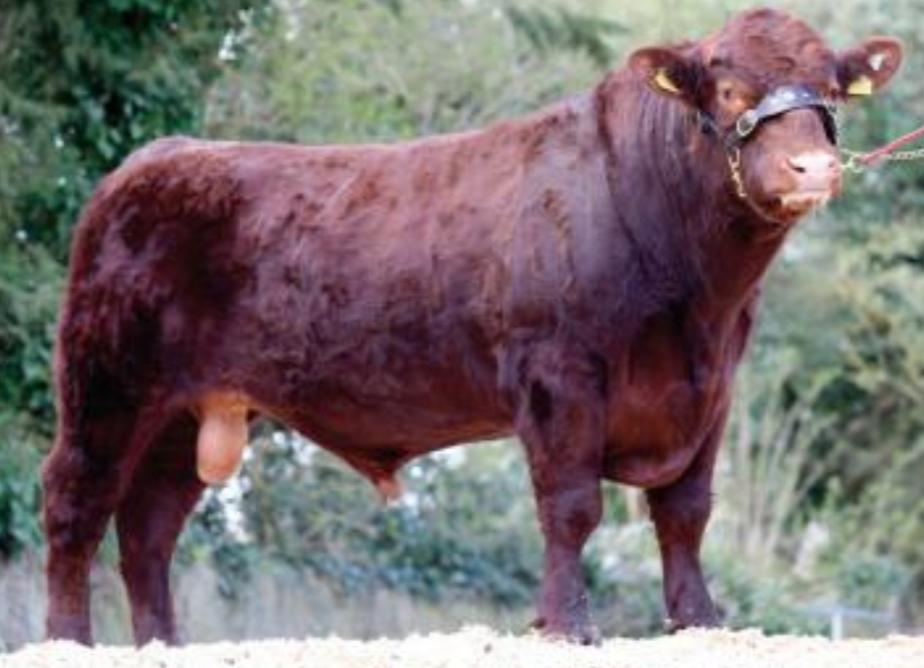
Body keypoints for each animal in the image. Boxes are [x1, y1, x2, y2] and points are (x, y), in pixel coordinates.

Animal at [42, 8, 902, 646]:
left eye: (832, 89)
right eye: (726, 89)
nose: (813, 168)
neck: (694, 302)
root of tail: (152, 159)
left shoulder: (712, 391)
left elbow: (686, 512)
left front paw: (698, 622)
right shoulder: (560, 376)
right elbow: (572, 507)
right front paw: (568, 624)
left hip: (191, 410)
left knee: (148, 528)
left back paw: (162, 645)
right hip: (107, 381)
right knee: (75, 500)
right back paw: (68, 640)